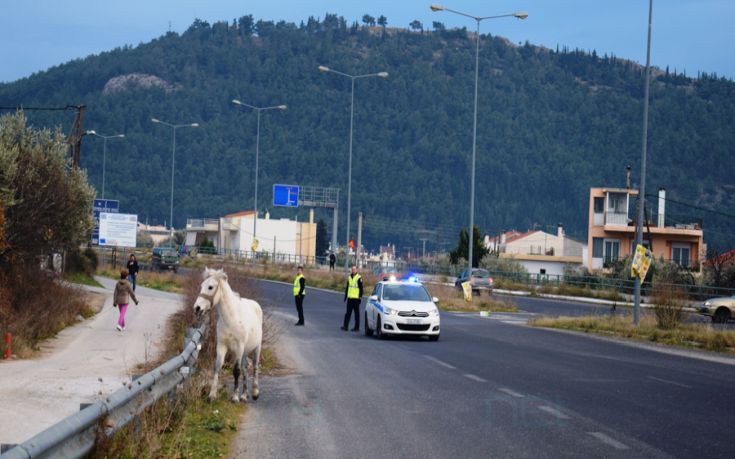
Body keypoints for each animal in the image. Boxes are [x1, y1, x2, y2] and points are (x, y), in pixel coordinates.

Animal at [196, 268, 264, 404]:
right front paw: (212, 395)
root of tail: (256, 305)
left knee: (254, 366)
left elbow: (236, 371)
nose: (197, 308)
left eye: (210, 287)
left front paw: (234, 397)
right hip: (245, 352)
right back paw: (244, 395)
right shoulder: (222, 346)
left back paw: (254, 393)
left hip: (256, 348)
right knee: (245, 368)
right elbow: (217, 367)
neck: (231, 319)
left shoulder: (239, 347)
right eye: (202, 286)